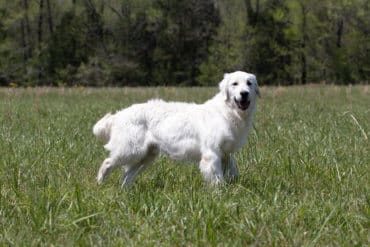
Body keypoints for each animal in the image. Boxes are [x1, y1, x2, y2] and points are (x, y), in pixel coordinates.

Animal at [93, 70, 260, 186]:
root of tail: (119, 114)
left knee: (127, 175)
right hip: (131, 150)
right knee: (107, 163)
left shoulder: (226, 154)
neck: (227, 112)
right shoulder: (211, 153)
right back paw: (100, 183)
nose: (244, 93)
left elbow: (233, 172)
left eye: (249, 83)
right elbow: (217, 179)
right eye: (235, 84)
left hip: (146, 156)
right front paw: (221, 194)